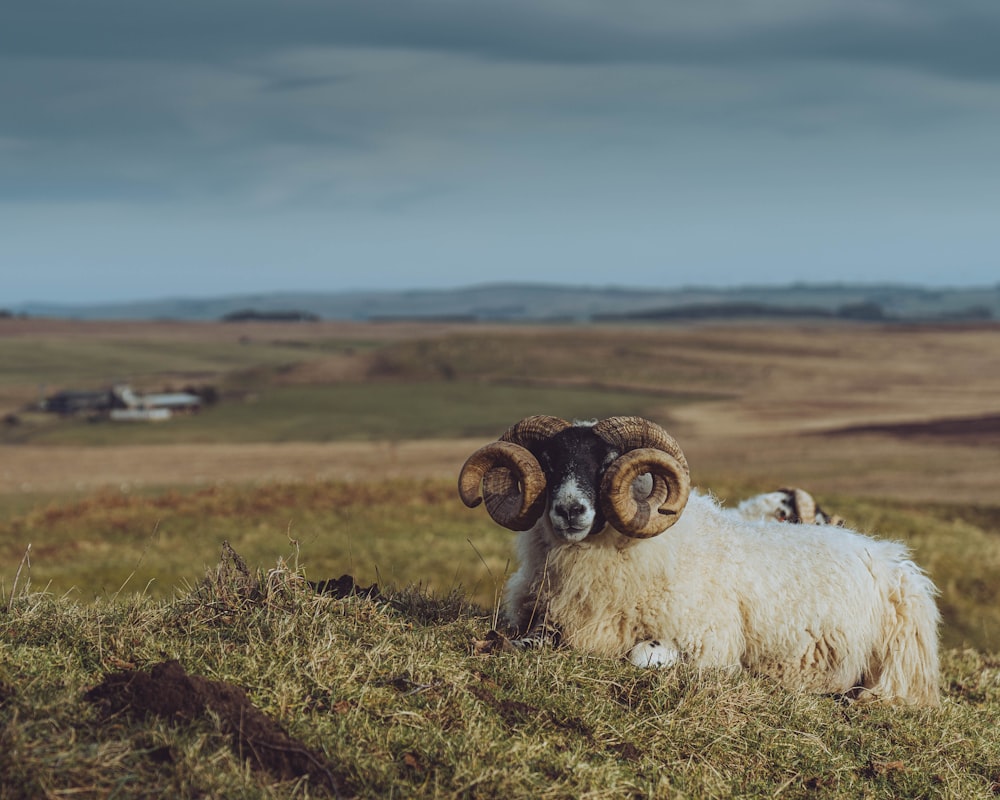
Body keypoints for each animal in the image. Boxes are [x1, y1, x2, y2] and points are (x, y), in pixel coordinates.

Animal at [458, 418, 940, 708]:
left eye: (606, 464)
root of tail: (888, 556)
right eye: (549, 462)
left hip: (895, 669)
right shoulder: (544, 615)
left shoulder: (710, 643)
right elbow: (530, 638)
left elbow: (641, 656)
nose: (570, 510)